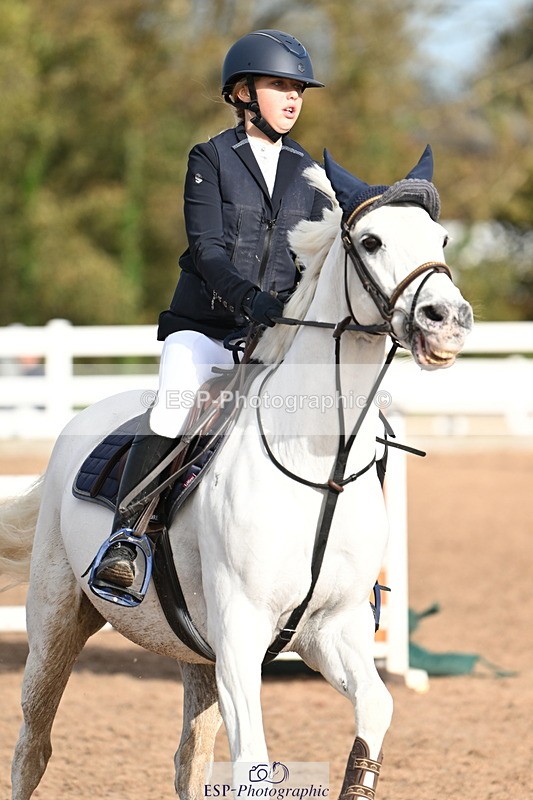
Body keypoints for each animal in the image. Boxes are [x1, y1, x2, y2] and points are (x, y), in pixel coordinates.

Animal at [0, 147, 473, 800]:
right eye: (371, 241)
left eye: (442, 238)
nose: (447, 319)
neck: (317, 464)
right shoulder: (242, 632)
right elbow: (252, 764)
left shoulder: (330, 629)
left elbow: (376, 709)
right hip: (54, 622)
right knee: (33, 746)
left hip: (197, 656)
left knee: (189, 760)